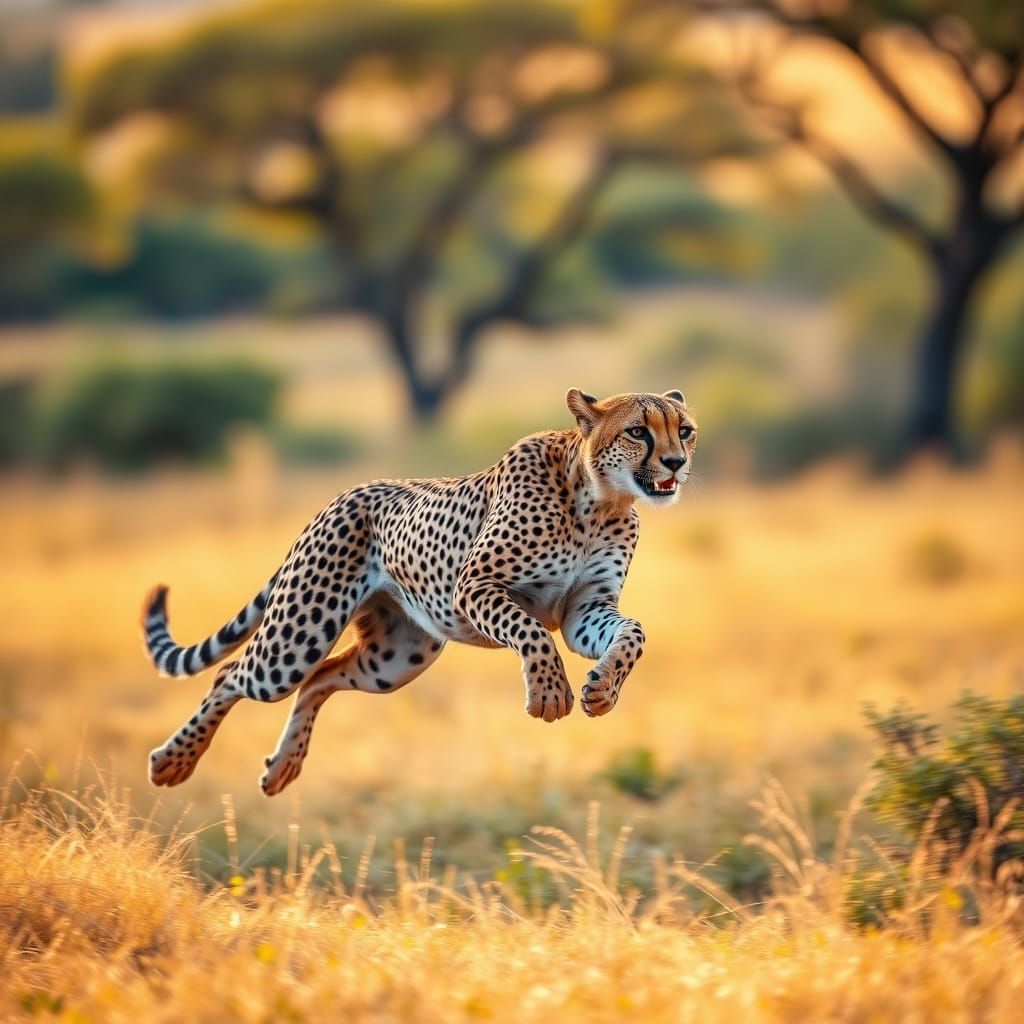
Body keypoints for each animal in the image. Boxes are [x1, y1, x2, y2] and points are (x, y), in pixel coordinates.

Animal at [142, 388, 697, 795]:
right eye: (638, 431)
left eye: (685, 430)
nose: (675, 462)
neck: (599, 501)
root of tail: (346, 493)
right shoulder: (473, 588)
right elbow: (531, 631)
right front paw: (549, 691)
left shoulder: (587, 608)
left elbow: (632, 633)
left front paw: (603, 687)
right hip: (297, 638)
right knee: (234, 675)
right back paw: (174, 760)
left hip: (395, 658)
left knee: (320, 678)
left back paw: (284, 766)